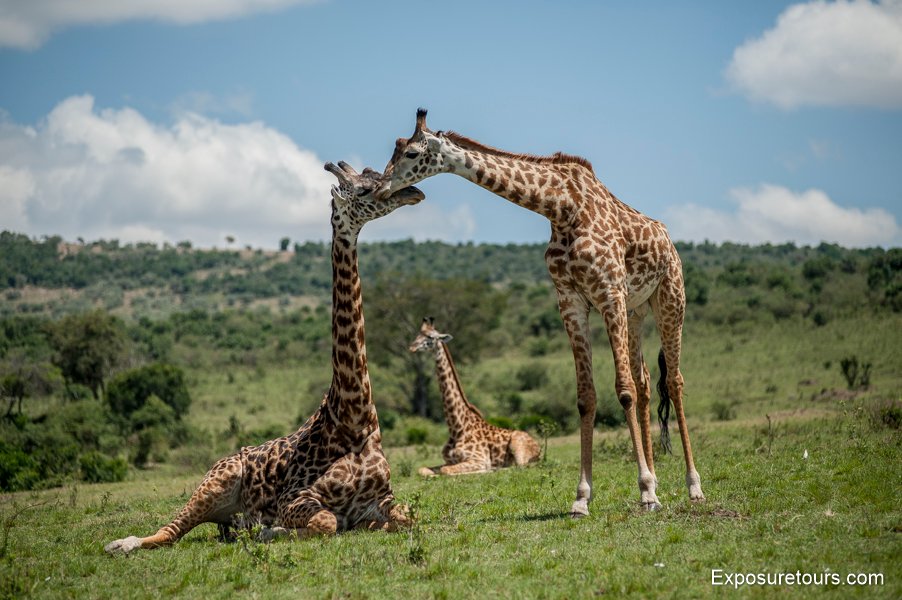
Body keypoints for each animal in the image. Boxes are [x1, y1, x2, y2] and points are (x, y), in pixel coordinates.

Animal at [104, 163, 421, 554]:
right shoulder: (295, 498)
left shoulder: (381, 498)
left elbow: (406, 517)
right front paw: (272, 531)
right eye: (363, 189)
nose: (414, 193)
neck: (355, 418)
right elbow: (327, 522)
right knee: (170, 531)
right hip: (217, 481)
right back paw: (121, 544)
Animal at [409, 317, 541, 476]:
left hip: (518, 446)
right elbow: (423, 469)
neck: (457, 428)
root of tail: (539, 448)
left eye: (430, 337)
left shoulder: (479, 459)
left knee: (519, 466)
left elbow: (446, 470)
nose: (412, 347)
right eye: (418, 334)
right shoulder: (449, 460)